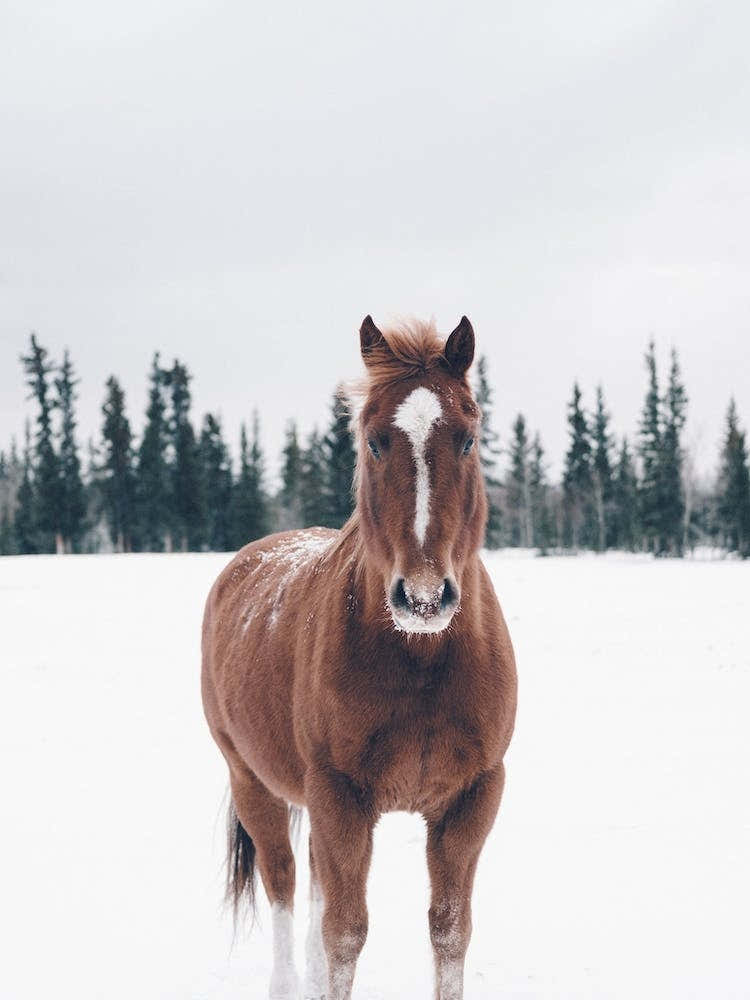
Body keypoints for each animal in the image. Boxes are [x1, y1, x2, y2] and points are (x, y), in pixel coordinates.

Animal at [201, 315, 517, 1000]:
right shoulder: (339, 797)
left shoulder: (472, 798)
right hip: (254, 783)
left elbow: (449, 932)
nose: (423, 596)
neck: (421, 661)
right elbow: (345, 934)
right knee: (286, 886)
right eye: (374, 441)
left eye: (469, 439)